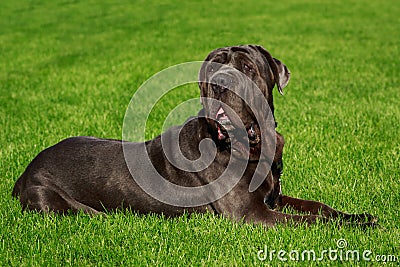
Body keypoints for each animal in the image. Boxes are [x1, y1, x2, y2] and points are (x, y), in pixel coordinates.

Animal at [11, 45, 376, 227]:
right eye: (212, 68)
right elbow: (311, 221)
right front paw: (358, 226)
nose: (221, 82)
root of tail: (24, 172)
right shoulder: (251, 213)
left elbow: (318, 208)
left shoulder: (273, 197)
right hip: (53, 201)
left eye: (246, 67)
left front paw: (357, 216)